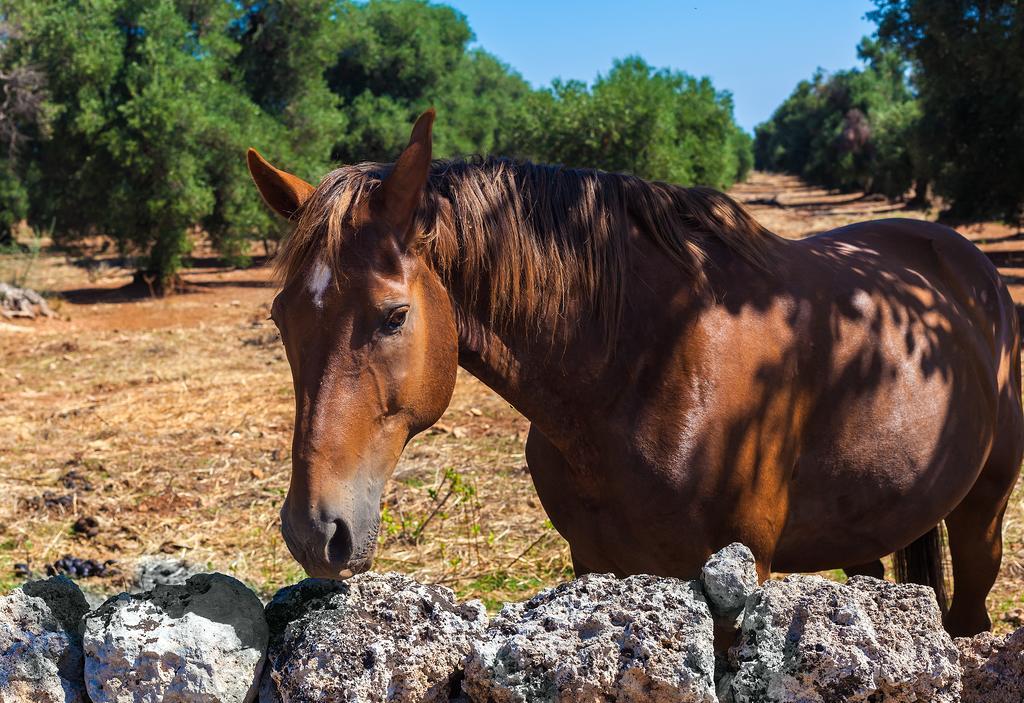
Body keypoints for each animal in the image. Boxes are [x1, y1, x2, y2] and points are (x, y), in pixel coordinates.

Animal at [247, 110, 1024, 638]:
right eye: (283, 318)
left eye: (393, 315)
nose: (315, 531)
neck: (647, 363)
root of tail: (961, 257)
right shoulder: (597, 561)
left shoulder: (741, 574)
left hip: (983, 509)